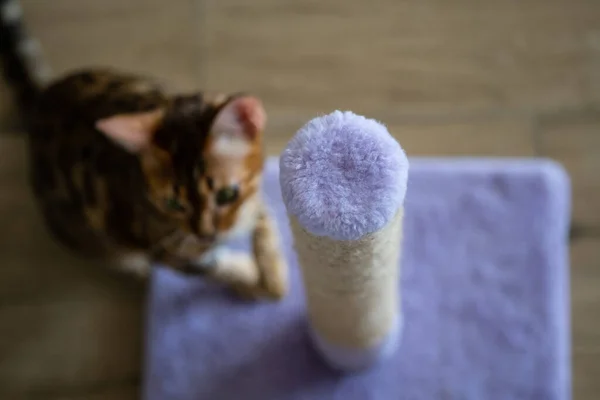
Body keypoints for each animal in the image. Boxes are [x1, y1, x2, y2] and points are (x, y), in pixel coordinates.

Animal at [0, 0, 288, 300]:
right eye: (173, 204)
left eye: (227, 195)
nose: (205, 235)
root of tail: (41, 101)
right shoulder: (163, 248)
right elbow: (211, 266)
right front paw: (254, 280)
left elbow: (261, 220)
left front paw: (272, 273)